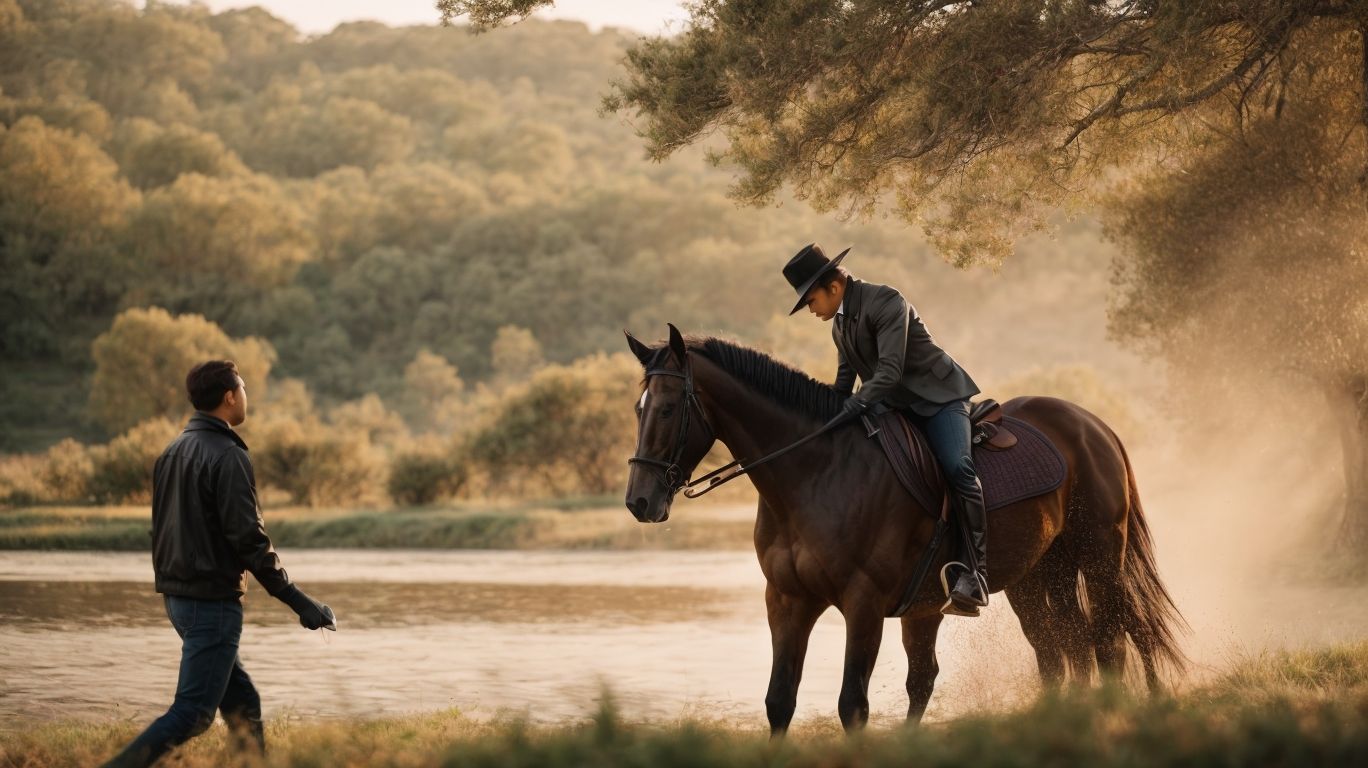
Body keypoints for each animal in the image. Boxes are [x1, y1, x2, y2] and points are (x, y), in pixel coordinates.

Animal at [623, 325, 1186, 735]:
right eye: (638, 408)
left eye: (668, 408)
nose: (639, 502)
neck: (816, 472)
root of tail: (1093, 425)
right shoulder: (787, 600)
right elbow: (781, 701)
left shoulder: (864, 604)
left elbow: (854, 704)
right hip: (1039, 576)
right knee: (1062, 650)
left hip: (1100, 561)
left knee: (1110, 641)